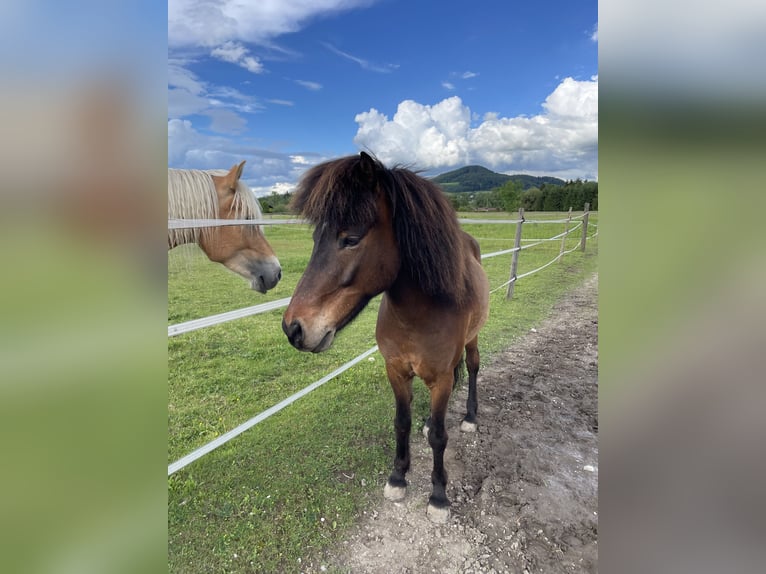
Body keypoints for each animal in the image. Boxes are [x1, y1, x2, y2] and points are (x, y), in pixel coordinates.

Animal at [282, 151, 489, 522]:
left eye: (350, 239)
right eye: (316, 239)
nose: (294, 328)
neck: (419, 315)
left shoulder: (439, 378)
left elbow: (440, 437)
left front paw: (439, 496)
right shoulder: (396, 370)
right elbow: (401, 422)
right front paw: (398, 476)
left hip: (472, 341)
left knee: (473, 368)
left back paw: (469, 417)